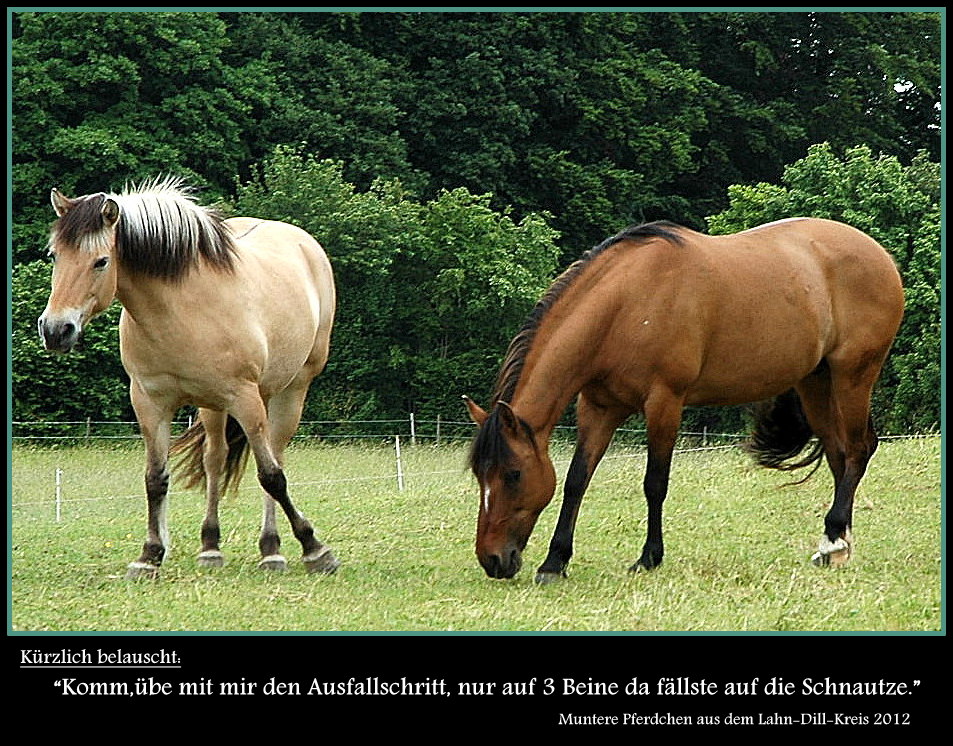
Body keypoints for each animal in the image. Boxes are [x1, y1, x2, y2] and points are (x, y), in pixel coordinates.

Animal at [38, 177, 338, 580]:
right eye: (55, 256)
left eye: (101, 261)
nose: (56, 330)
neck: (182, 309)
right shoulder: (149, 403)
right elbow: (155, 479)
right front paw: (150, 555)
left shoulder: (245, 398)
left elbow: (272, 476)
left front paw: (314, 548)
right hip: (213, 406)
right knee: (215, 459)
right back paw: (210, 546)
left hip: (290, 390)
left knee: (275, 457)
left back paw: (271, 549)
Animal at [464, 217, 904, 580]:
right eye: (479, 475)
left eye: (513, 474)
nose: (492, 560)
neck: (625, 304)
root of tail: (880, 255)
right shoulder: (598, 407)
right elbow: (576, 481)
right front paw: (555, 562)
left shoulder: (664, 403)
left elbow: (654, 483)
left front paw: (649, 557)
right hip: (816, 383)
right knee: (839, 456)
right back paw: (836, 546)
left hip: (852, 376)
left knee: (858, 450)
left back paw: (834, 539)